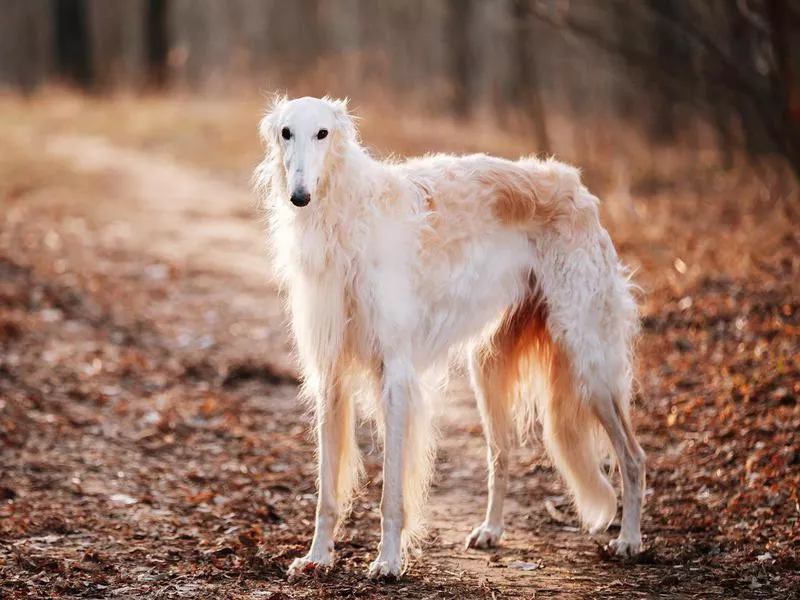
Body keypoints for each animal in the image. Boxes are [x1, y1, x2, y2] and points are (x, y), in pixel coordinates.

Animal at [253, 96, 648, 580]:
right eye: (286, 132)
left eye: (323, 133)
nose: (300, 196)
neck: (345, 219)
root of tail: (578, 189)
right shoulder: (331, 374)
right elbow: (327, 490)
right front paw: (317, 557)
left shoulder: (395, 374)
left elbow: (392, 494)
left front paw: (388, 561)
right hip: (490, 367)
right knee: (501, 455)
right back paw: (491, 530)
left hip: (589, 360)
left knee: (633, 457)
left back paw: (629, 539)